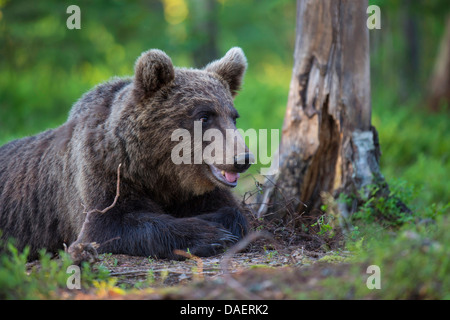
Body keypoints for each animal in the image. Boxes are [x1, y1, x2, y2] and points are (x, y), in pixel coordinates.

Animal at [0, 48, 251, 262]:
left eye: (233, 117)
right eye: (204, 116)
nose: (243, 159)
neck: (160, 170)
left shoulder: (196, 190)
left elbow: (232, 212)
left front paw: (220, 222)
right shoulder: (104, 170)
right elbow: (107, 224)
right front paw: (211, 234)